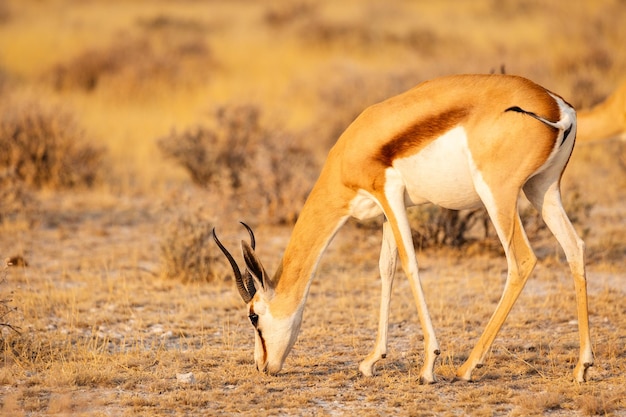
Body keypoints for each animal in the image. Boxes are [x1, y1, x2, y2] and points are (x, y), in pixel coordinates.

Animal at [212, 74, 592, 380]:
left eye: (253, 317)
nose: (263, 367)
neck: (353, 149)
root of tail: (557, 107)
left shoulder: (389, 193)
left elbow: (410, 264)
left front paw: (428, 367)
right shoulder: (386, 210)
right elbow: (386, 267)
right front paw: (371, 362)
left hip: (498, 196)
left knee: (522, 261)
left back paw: (468, 368)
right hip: (543, 189)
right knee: (574, 247)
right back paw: (582, 367)